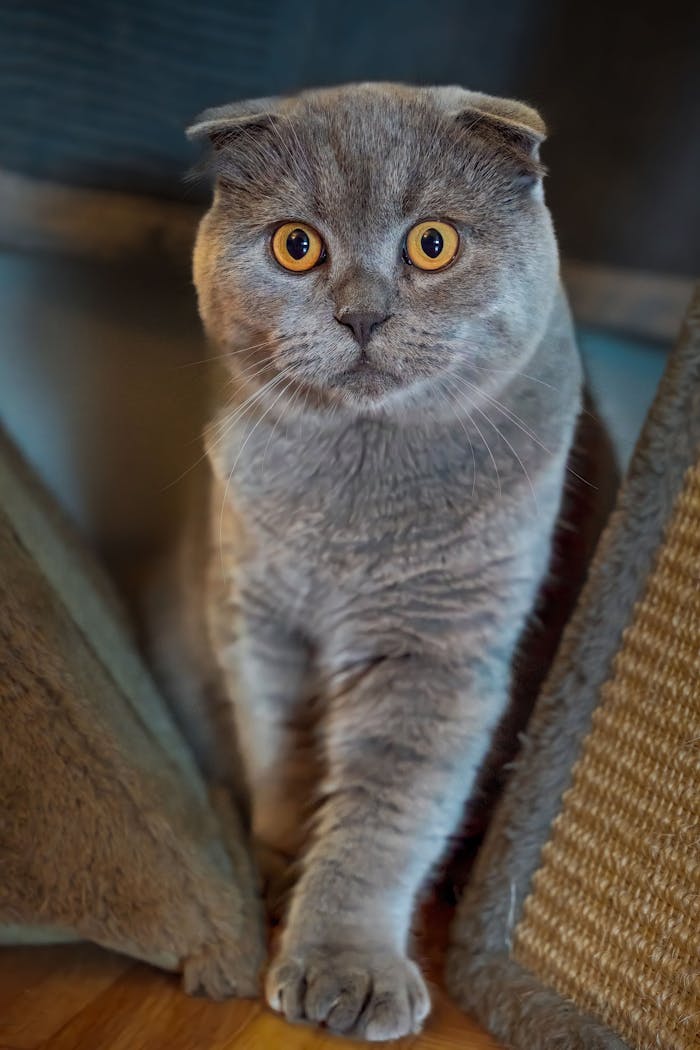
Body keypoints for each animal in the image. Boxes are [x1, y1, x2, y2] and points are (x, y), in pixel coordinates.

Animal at [172, 84, 583, 1041]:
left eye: (433, 243)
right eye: (297, 245)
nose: (362, 315)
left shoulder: (436, 654)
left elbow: (385, 817)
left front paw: (345, 968)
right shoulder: (257, 617)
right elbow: (280, 751)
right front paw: (280, 863)